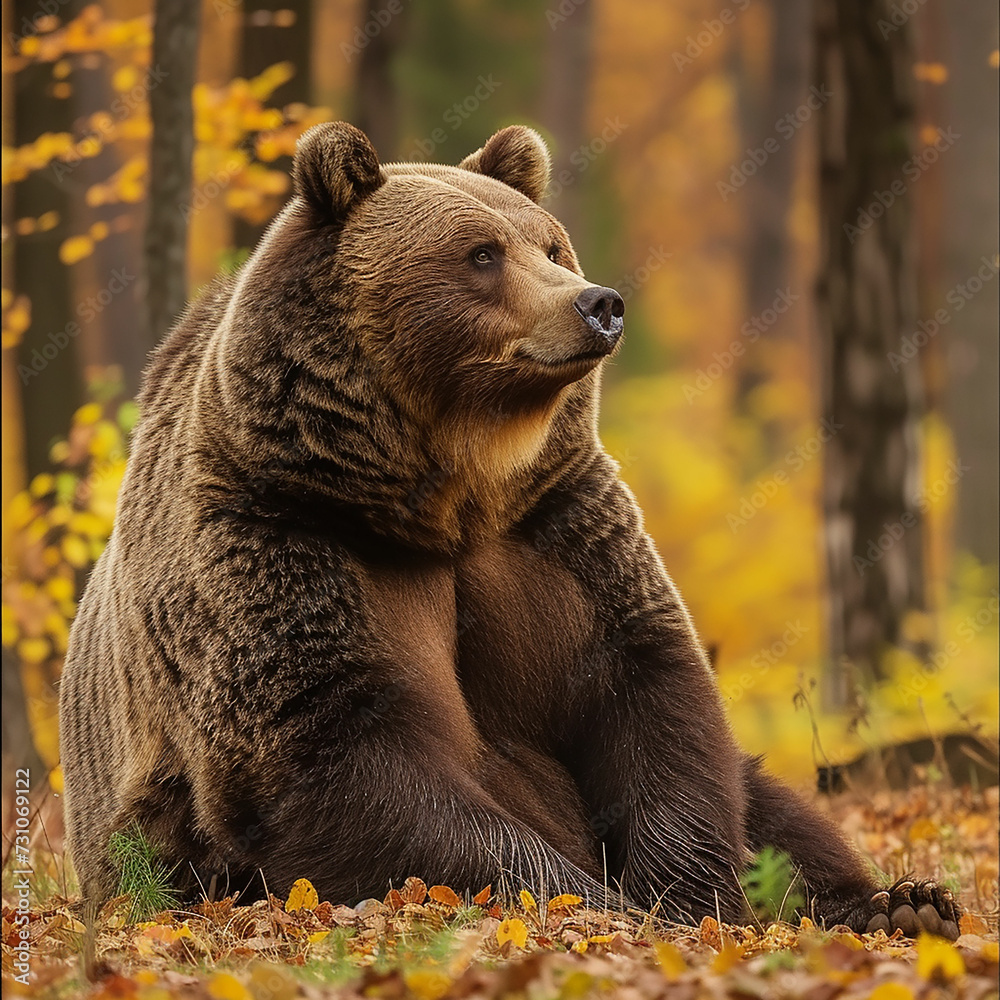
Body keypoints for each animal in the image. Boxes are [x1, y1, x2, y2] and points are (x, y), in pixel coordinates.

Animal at [59, 121, 959, 938]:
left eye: (552, 246)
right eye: (481, 253)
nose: (599, 304)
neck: (444, 495)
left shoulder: (555, 529)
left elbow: (652, 691)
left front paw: (685, 895)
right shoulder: (281, 539)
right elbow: (344, 755)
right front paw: (594, 903)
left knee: (778, 808)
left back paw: (904, 903)